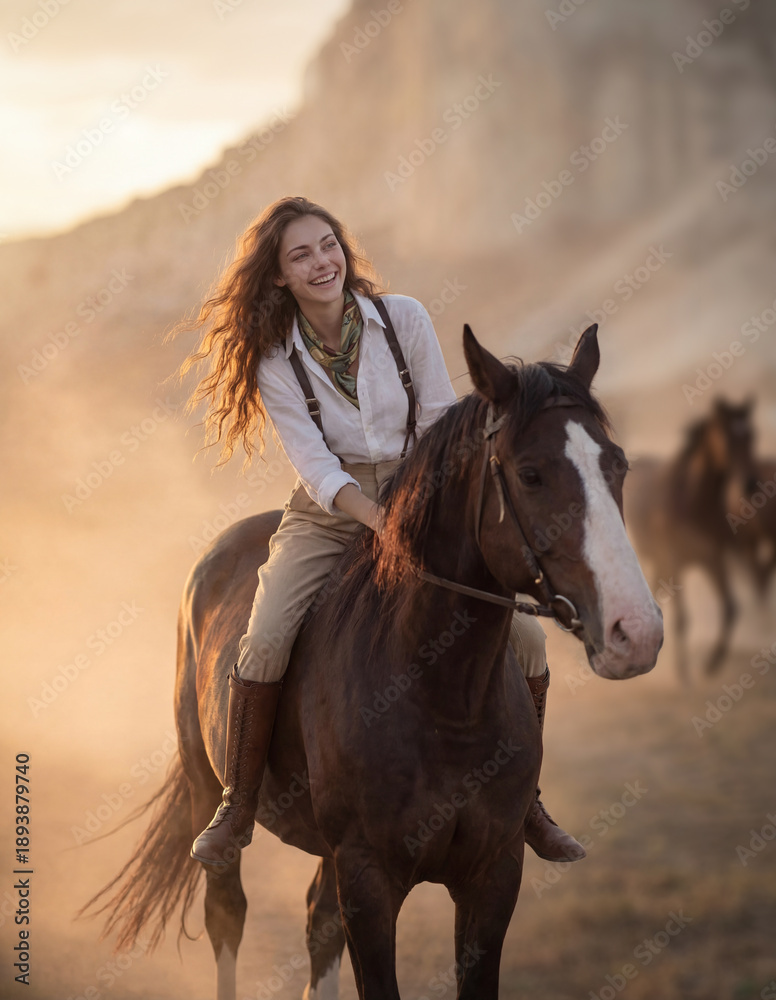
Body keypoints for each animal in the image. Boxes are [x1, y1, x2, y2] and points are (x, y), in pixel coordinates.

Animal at [82, 324, 662, 1000]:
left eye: (617, 465)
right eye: (531, 474)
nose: (636, 632)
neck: (443, 699)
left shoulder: (494, 874)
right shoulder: (368, 879)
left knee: (317, 924)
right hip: (209, 791)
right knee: (227, 912)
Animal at [623, 398, 759, 683]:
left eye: (752, 436)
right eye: (727, 437)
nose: (750, 483)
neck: (693, 500)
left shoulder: (714, 559)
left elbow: (730, 608)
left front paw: (710, 664)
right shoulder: (675, 562)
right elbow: (683, 619)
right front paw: (683, 673)